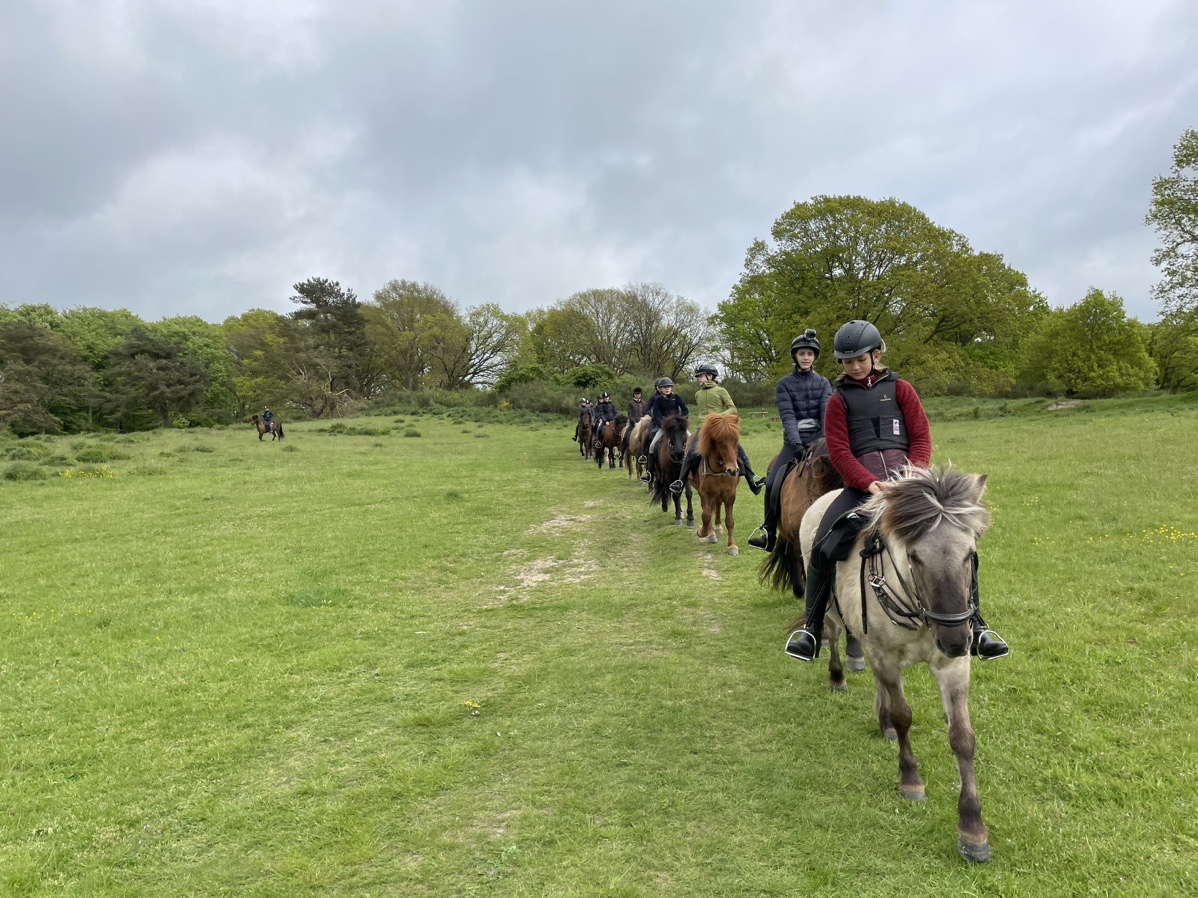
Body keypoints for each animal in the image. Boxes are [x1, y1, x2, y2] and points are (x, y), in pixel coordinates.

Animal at [690, 414, 742, 555]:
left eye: (735, 440)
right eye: (720, 441)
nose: (733, 470)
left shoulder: (730, 494)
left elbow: (730, 521)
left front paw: (732, 546)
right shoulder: (705, 493)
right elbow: (706, 515)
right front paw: (703, 532)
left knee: (717, 505)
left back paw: (718, 528)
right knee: (707, 510)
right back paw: (712, 533)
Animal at [795, 464, 991, 866]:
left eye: (970, 554)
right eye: (914, 557)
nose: (954, 640)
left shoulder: (952, 667)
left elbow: (962, 738)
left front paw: (972, 829)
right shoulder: (885, 655)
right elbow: (904, 717)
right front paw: (910, 780)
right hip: (833, 615)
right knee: (835, 639)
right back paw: (837, 677)